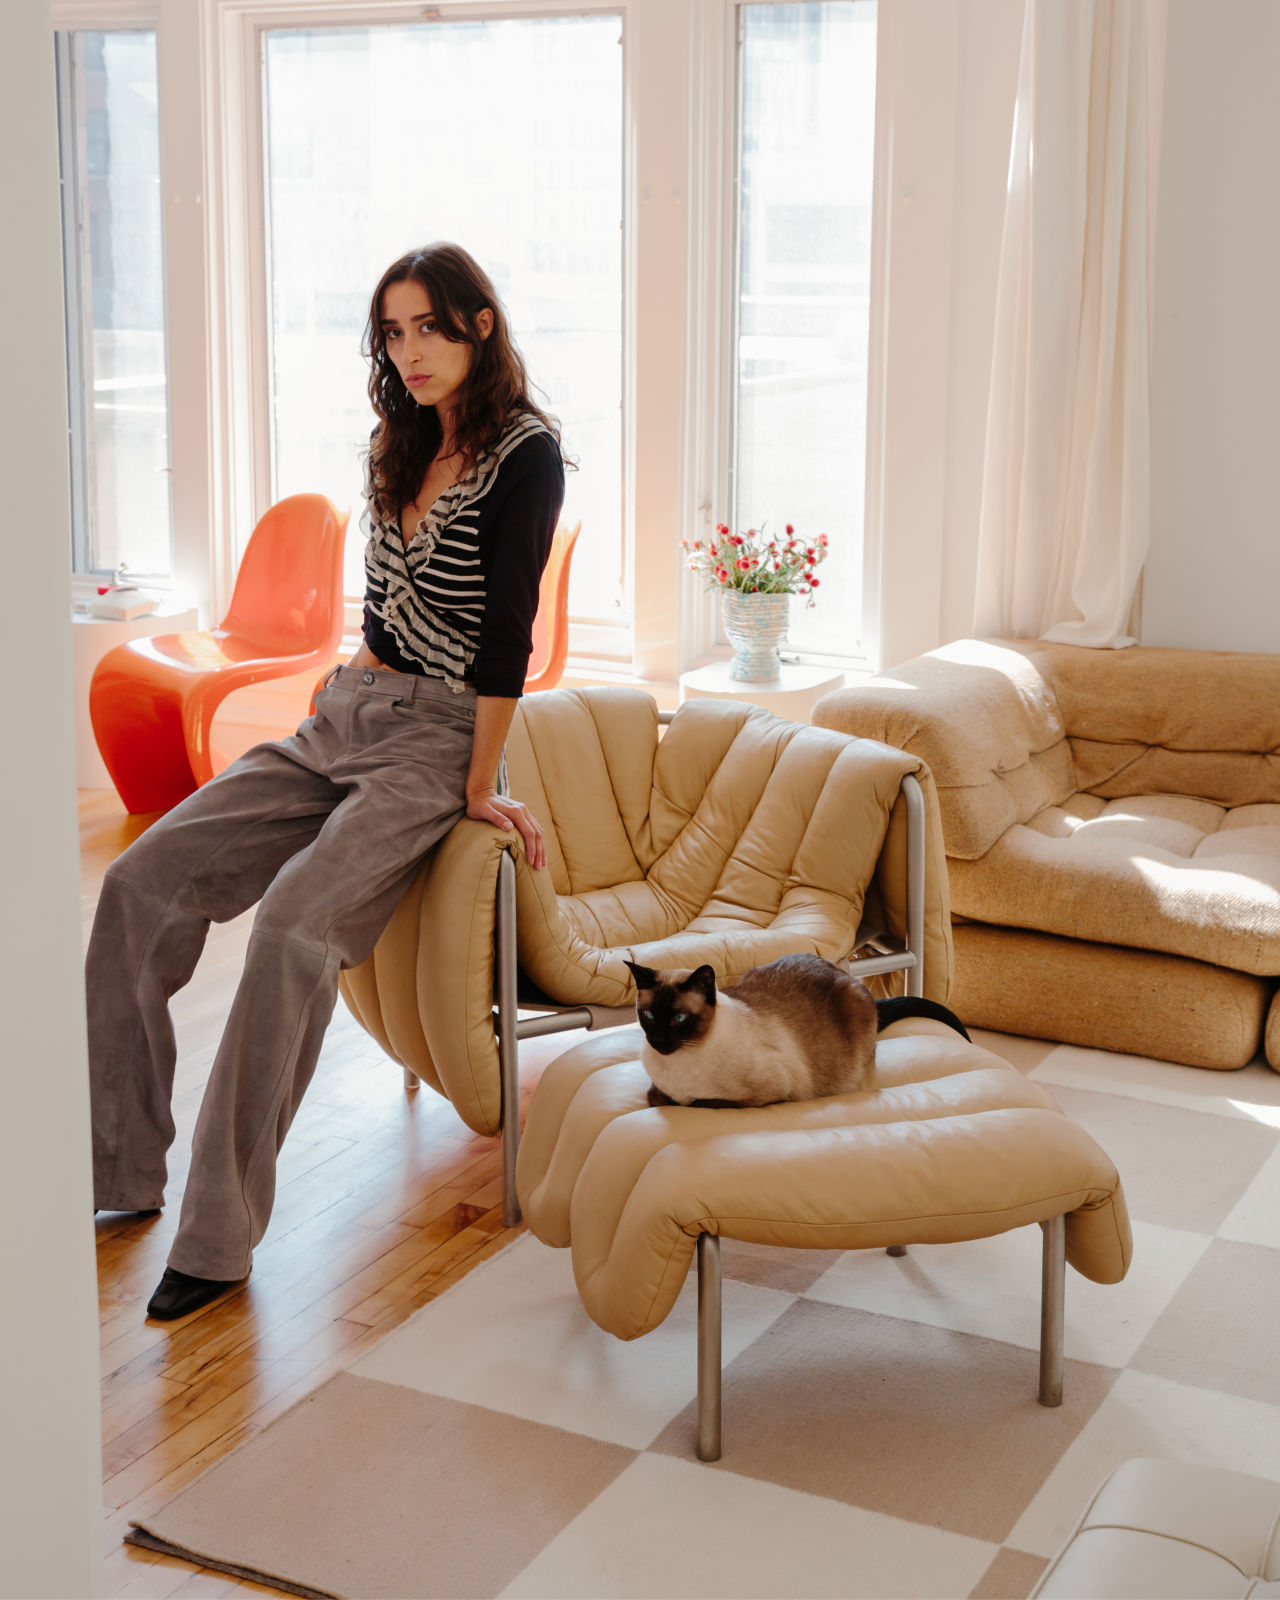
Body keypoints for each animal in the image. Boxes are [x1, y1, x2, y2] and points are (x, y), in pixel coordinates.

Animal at [624, 953, 972, 1107]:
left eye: (680, 1019)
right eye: (649, 1016)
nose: (658, 1041)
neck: (681, 1063)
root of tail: (840, 970)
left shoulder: (770, 1094)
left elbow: (699, 1101)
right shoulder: (656, 1089)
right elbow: (656, 1096)